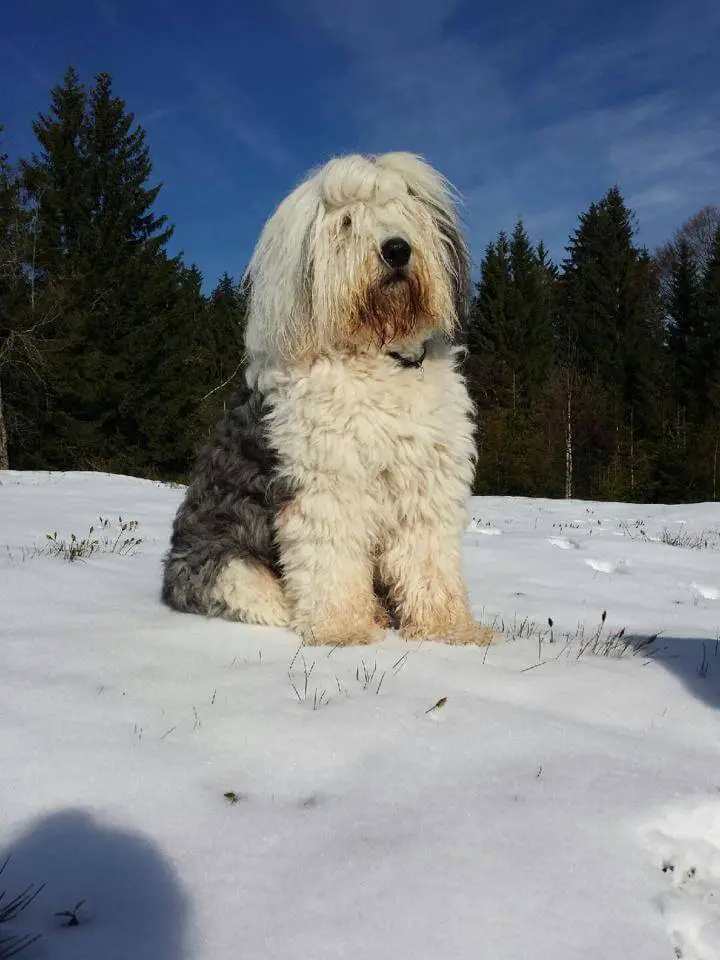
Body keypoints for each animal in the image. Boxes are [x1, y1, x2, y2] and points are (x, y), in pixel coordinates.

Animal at [162, 152, 498, 644]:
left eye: (404, 210)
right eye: (346, 222)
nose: (396, 250)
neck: (380, 358)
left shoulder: (426, 485)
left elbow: (429, 562)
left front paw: (451, 631)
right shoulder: (326, 487)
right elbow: (331, 560)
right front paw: (344, 631)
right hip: (231, 569)